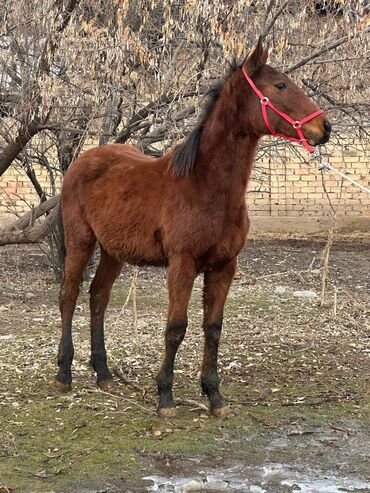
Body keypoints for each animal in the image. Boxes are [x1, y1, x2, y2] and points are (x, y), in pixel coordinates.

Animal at [53, 39, 330, 416]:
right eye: (280, 85)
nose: (325, 128)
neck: (204, 186)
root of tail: (83, 160)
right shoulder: (182, 265)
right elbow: (176, 327)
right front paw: (165, 397)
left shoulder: (224, 267)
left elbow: (213, 328)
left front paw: (214, 396)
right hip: (80, 241)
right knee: (69, 296)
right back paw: (63, 373)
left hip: (113, 252)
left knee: (98, 297)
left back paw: (104, 374)